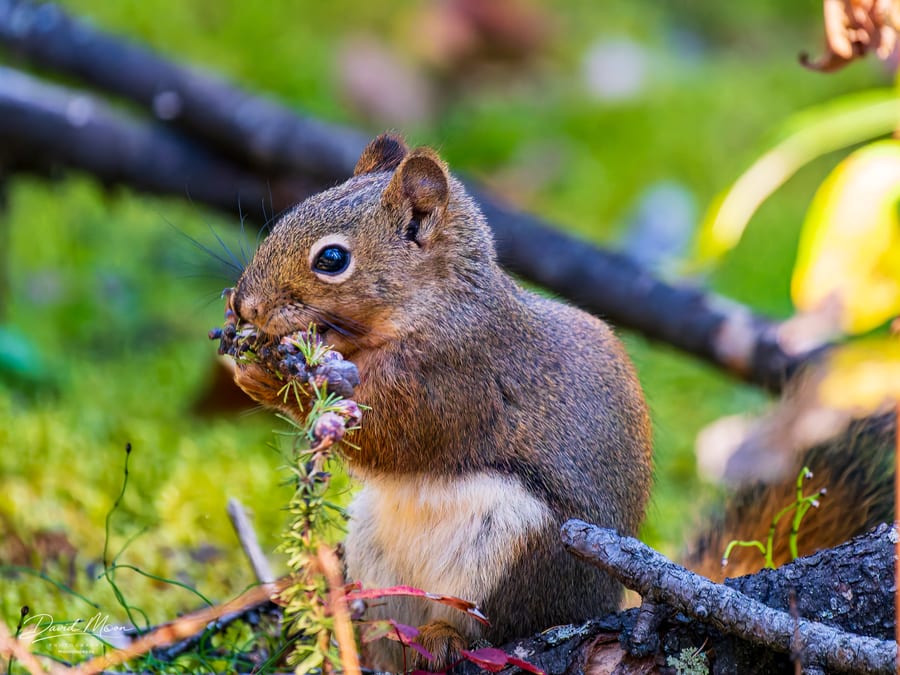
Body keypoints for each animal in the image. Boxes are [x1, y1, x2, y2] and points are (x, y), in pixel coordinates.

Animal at [226, 133, 894, 671]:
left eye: (332, 259)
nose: (245, 306)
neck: (433, 306)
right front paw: (249, 367)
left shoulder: (461, 378)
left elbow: (395, 435)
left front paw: (277, 379)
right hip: (373, 551)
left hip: (516, 546)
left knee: (490, 625)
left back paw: (441, 637)